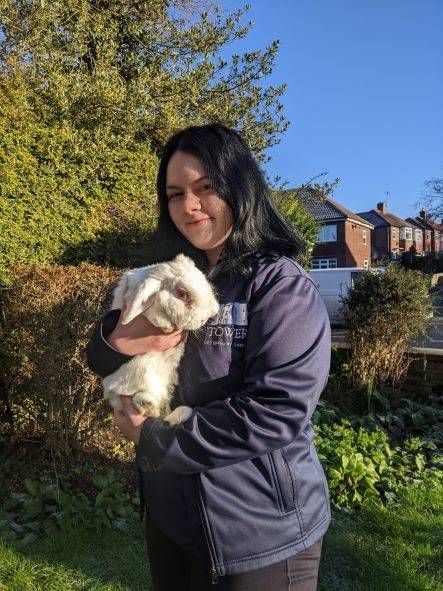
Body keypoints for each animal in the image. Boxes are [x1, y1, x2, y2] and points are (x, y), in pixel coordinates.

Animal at [104, 254, 222, 426]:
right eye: (182, 294)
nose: (208, 315)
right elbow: (152, 311)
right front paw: (166, 325)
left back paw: (181, 412)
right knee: (150, 410)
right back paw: (146, 403)